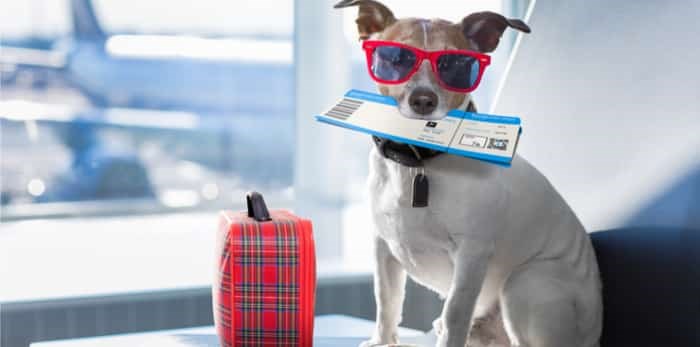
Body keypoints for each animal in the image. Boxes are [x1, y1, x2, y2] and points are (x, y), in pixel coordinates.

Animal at [334, 1, 600, 346]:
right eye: (396, 58)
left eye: (456, 65)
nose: (423, 99)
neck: (418, 162)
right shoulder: (383, 247)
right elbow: (386, 300)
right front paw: (382, 340)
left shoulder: (472, 254)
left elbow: (456, 310)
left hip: (525, 282)